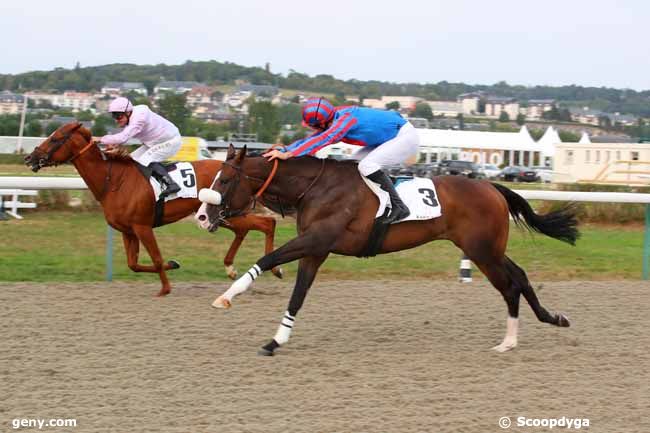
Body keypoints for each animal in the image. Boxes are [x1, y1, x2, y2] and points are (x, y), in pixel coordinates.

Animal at [23, 123, 280, 296]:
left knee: (268, 223)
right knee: (247, 229)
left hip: (222, 214)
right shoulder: (127, 230)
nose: (29, 157)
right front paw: (173, 265)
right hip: (217, 217)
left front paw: (165, 289)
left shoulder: (142, 226)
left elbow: (155, 258)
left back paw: (274, 268)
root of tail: (239, 169)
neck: (114, 181)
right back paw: (232, 268)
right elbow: (133, 264)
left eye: (55, 138)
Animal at [197, 145, 576, 354]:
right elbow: (297, 297)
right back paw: (550, 319)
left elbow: (268, 259)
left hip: (482, 251)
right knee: (520, 276)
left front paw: (226, 296)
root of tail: (492, 187)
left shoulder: (316, 240)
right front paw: (275, 341)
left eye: (225, 180)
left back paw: (509, 341)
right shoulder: (316, 250)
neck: (316, 187)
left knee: (509, 287)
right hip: (489, 249)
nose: (202, 216)